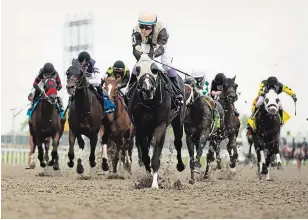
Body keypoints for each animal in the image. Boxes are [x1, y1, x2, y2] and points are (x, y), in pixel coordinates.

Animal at [127, 53, 185, 189]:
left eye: (154, 69)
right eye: (137, 69)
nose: (147, 89)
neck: (150, 103)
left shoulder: (160, 126)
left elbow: (155, 156)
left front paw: (154, 184)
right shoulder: (140, 127)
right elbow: (145, 155)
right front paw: (148, 177)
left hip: (178, 120)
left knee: (178, 142)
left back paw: (180, 165)